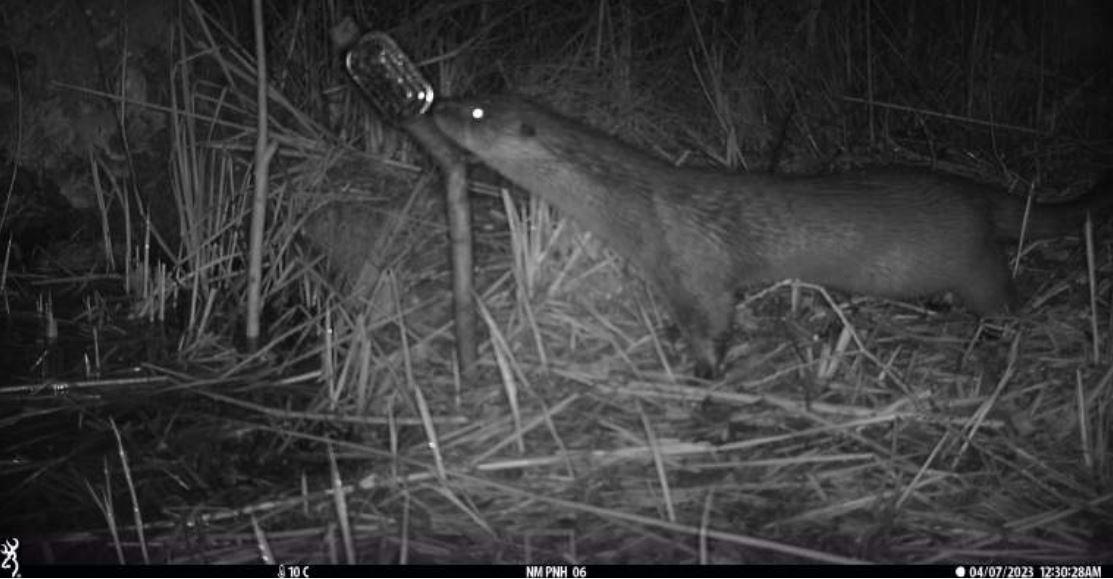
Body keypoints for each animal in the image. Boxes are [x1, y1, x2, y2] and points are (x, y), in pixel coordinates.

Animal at [432, 95, 1110, 379]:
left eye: (475, 113)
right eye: (469, 96)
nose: (434, 106)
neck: (640, 203)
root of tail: (976, 190)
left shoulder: (692, 262)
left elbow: (712, 318)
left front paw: (705, 371)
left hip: (972, 260)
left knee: (1004, 293)